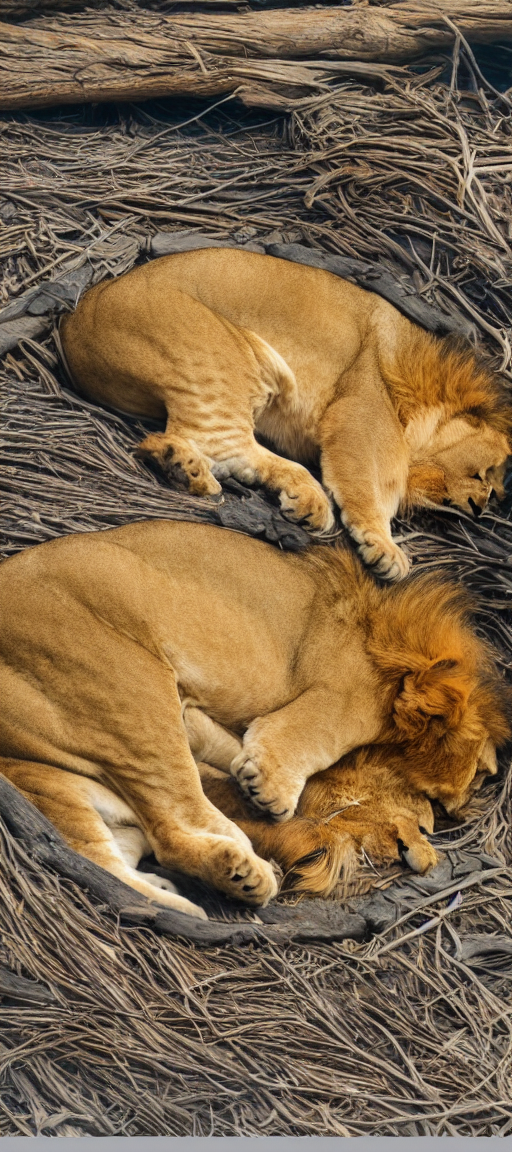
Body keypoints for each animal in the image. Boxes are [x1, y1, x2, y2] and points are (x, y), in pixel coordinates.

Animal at [0, 520, 508, 916]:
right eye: (429, 802)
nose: (434, 838)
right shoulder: (347, 687)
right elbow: (322, 729)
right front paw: (270, 788)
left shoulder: (197, 716)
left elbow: (225, 742)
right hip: (130, 683)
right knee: (173, 827)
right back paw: (245, 873)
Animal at [60, 249, 511, 581]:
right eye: (484, 475)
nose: (482, 507)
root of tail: (75, 318)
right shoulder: (363, 410)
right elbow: (374, 482)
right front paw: (383, 546)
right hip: (226, 353)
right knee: (222, 442)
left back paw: (182, 467)